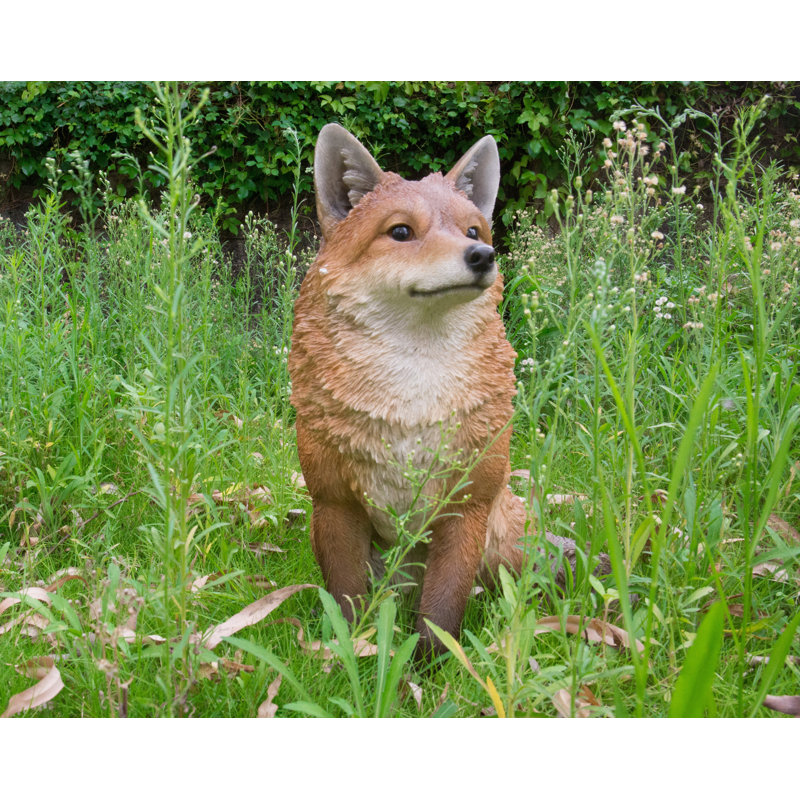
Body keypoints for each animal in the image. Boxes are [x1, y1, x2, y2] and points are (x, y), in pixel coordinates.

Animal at [289, 124, 551, 656]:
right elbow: (347, 603)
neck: (411, 402)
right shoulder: (333, 503)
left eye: (472, 232)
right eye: (401, 232)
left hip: (503, 543)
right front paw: (350, 655)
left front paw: (430, 669)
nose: (483, 256)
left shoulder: (466, 507)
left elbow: (441, 615)